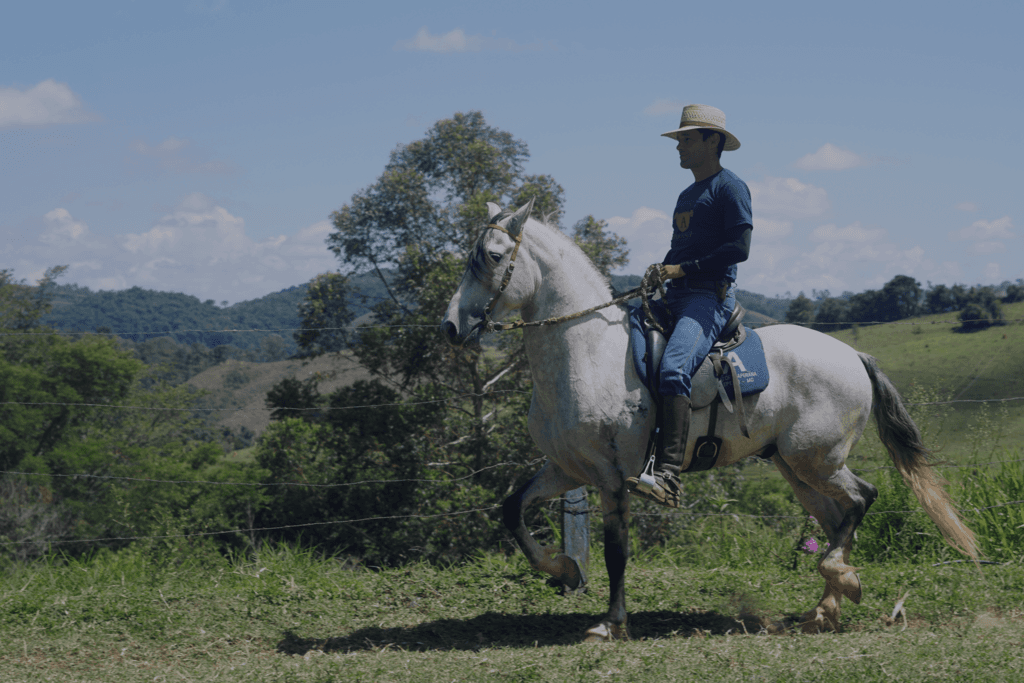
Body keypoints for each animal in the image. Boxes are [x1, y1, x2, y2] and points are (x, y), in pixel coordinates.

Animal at [438, 198, 974, 643]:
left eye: (491, 256)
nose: (451, 328)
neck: (587, 353)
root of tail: (854, 356)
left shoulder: (612, 477)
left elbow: (616, 551)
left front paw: (610, 623)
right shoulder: (567, 469)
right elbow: (513, 510)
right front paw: (565, 570)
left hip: (817, 460)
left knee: (863, 498)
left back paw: (838, 580)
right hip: (797, 469)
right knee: (838, 518)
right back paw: (825, 607)